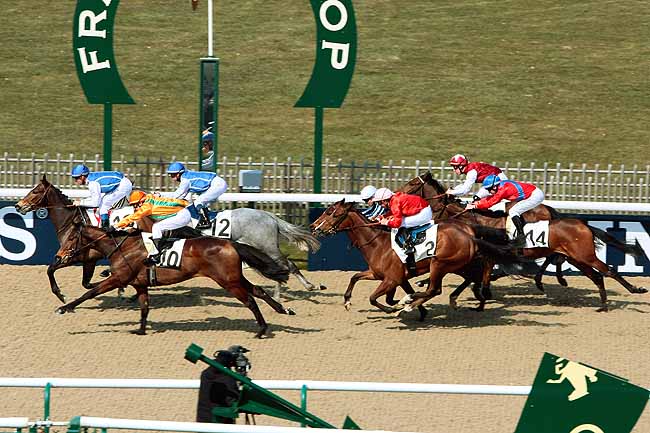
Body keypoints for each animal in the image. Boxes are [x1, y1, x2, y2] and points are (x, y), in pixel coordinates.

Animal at [54, 223, 294, 338]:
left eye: (71, 238)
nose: (58, 256)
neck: (123, 246)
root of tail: (230, 244)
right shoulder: (140, 284)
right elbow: (144, 307)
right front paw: (140, 330)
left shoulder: (118, 278)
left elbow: (89, 292)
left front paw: (64, 307)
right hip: (233, 278)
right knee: (258, 291)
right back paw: (282, 311)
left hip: (228, 282)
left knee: (250, 301)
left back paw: (261, 330)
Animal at [310, 199, 520, 314]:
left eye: (330, 212)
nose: (313, 227)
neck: (378, 244)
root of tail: (469, 233)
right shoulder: (379, 274)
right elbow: (355, 277)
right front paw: (347, 301)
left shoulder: (391, 279)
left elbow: (373, 298)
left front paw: (397, 307)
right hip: (459, 264)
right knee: (473, 275)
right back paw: (475, 298)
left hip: (440, 264)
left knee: (435, 289)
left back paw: (409, 303)